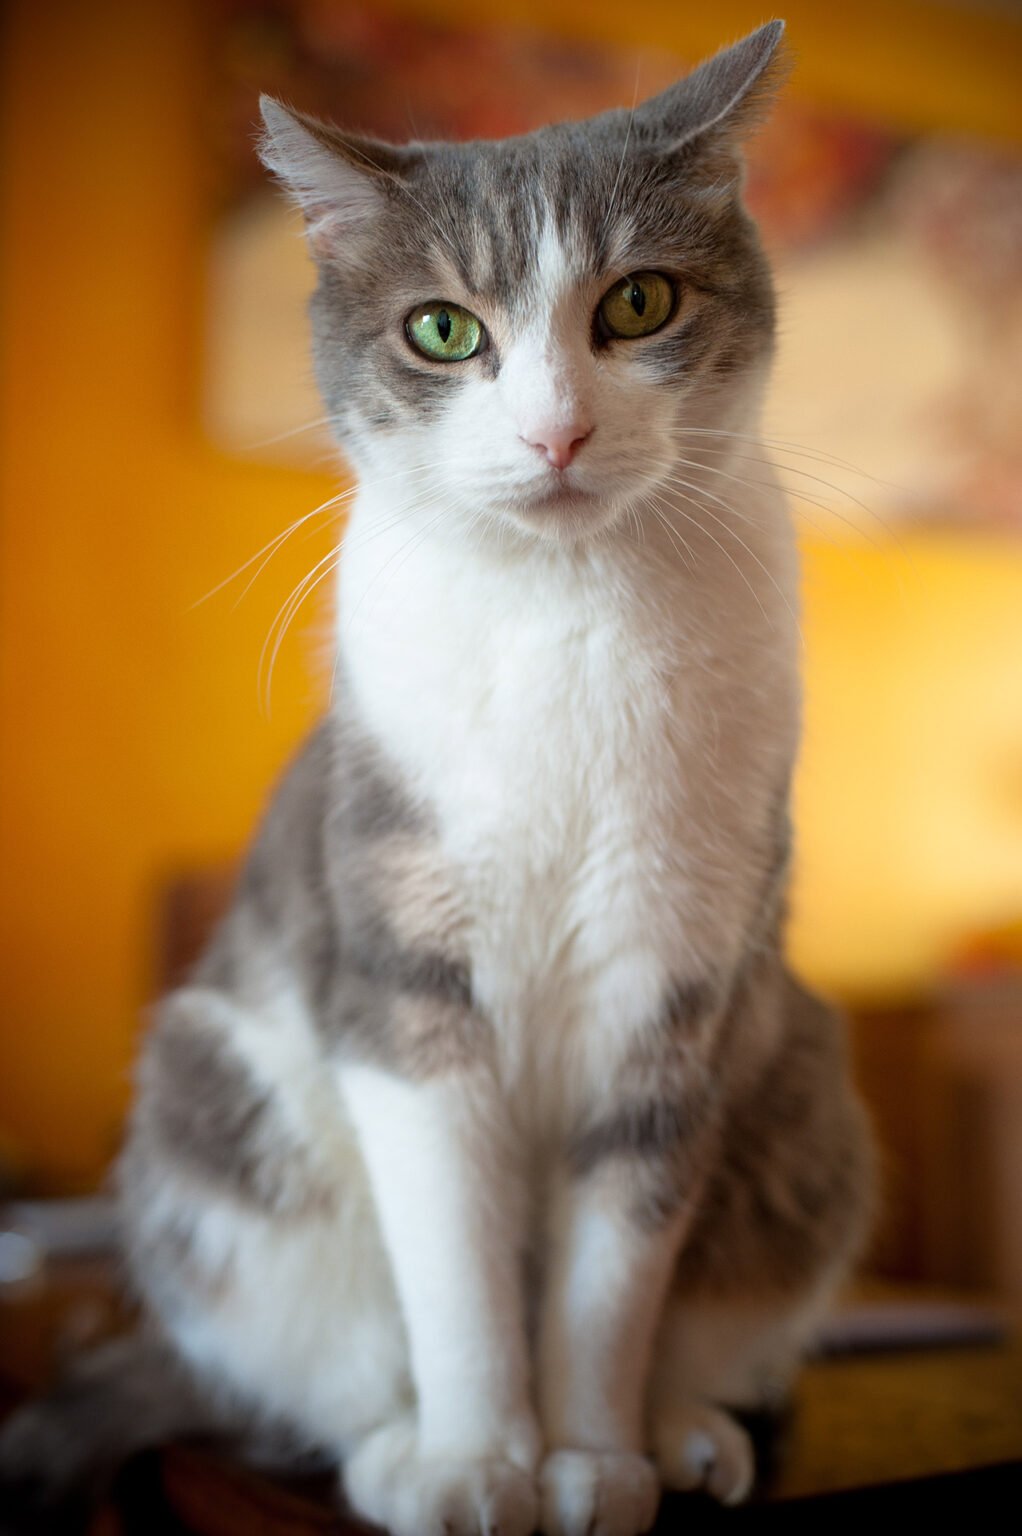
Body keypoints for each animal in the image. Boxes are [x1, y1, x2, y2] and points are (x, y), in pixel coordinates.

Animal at [3, 21, 872, 1536]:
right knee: (316, 1373)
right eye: (444, 329)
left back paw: (684, 1431)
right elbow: (456, 1261)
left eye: (637, 302)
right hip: (215, 1112)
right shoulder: (406, 969)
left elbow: (610, 1274)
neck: (564, 614)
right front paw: (479, 1461)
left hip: (800, 1083)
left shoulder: (674, 979)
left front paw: (592, 1462)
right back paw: (401, 1456)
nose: (554, 434)